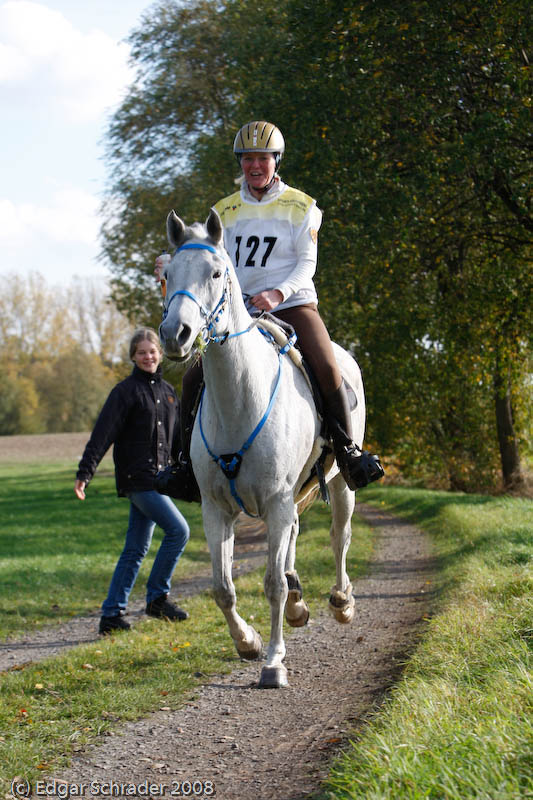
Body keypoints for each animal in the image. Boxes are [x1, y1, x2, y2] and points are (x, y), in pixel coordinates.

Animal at [158, 208, 366, 688]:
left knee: (338, 537)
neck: (240, 398)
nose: (176, 334)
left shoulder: (275, 500)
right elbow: (223, 587)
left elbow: (271, 584)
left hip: (338, 484)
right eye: (168, 274)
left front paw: (273, 662)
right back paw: (299, 605)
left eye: (216, 272)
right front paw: (248, 642)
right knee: (292, 540)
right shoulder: (218, 509)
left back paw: (341, 601)